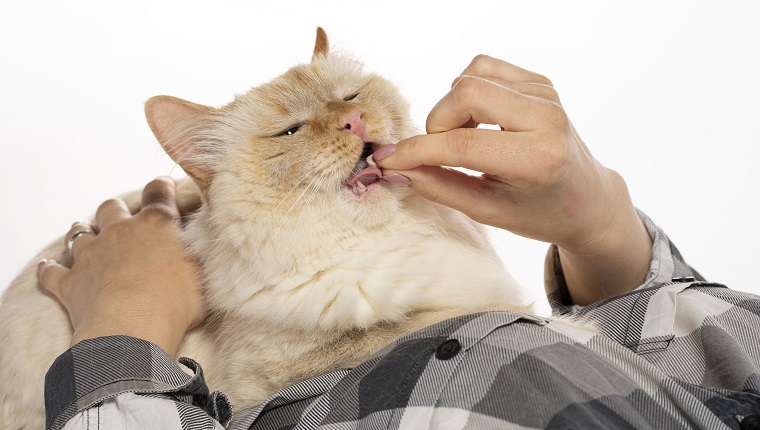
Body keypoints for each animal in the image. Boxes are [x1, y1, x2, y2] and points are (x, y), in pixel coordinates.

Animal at [0, 28, 536, 428]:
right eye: (292, 131)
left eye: (349, 96)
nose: (354, 120)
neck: (377, 242)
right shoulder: (282, 373)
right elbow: (464, 317)